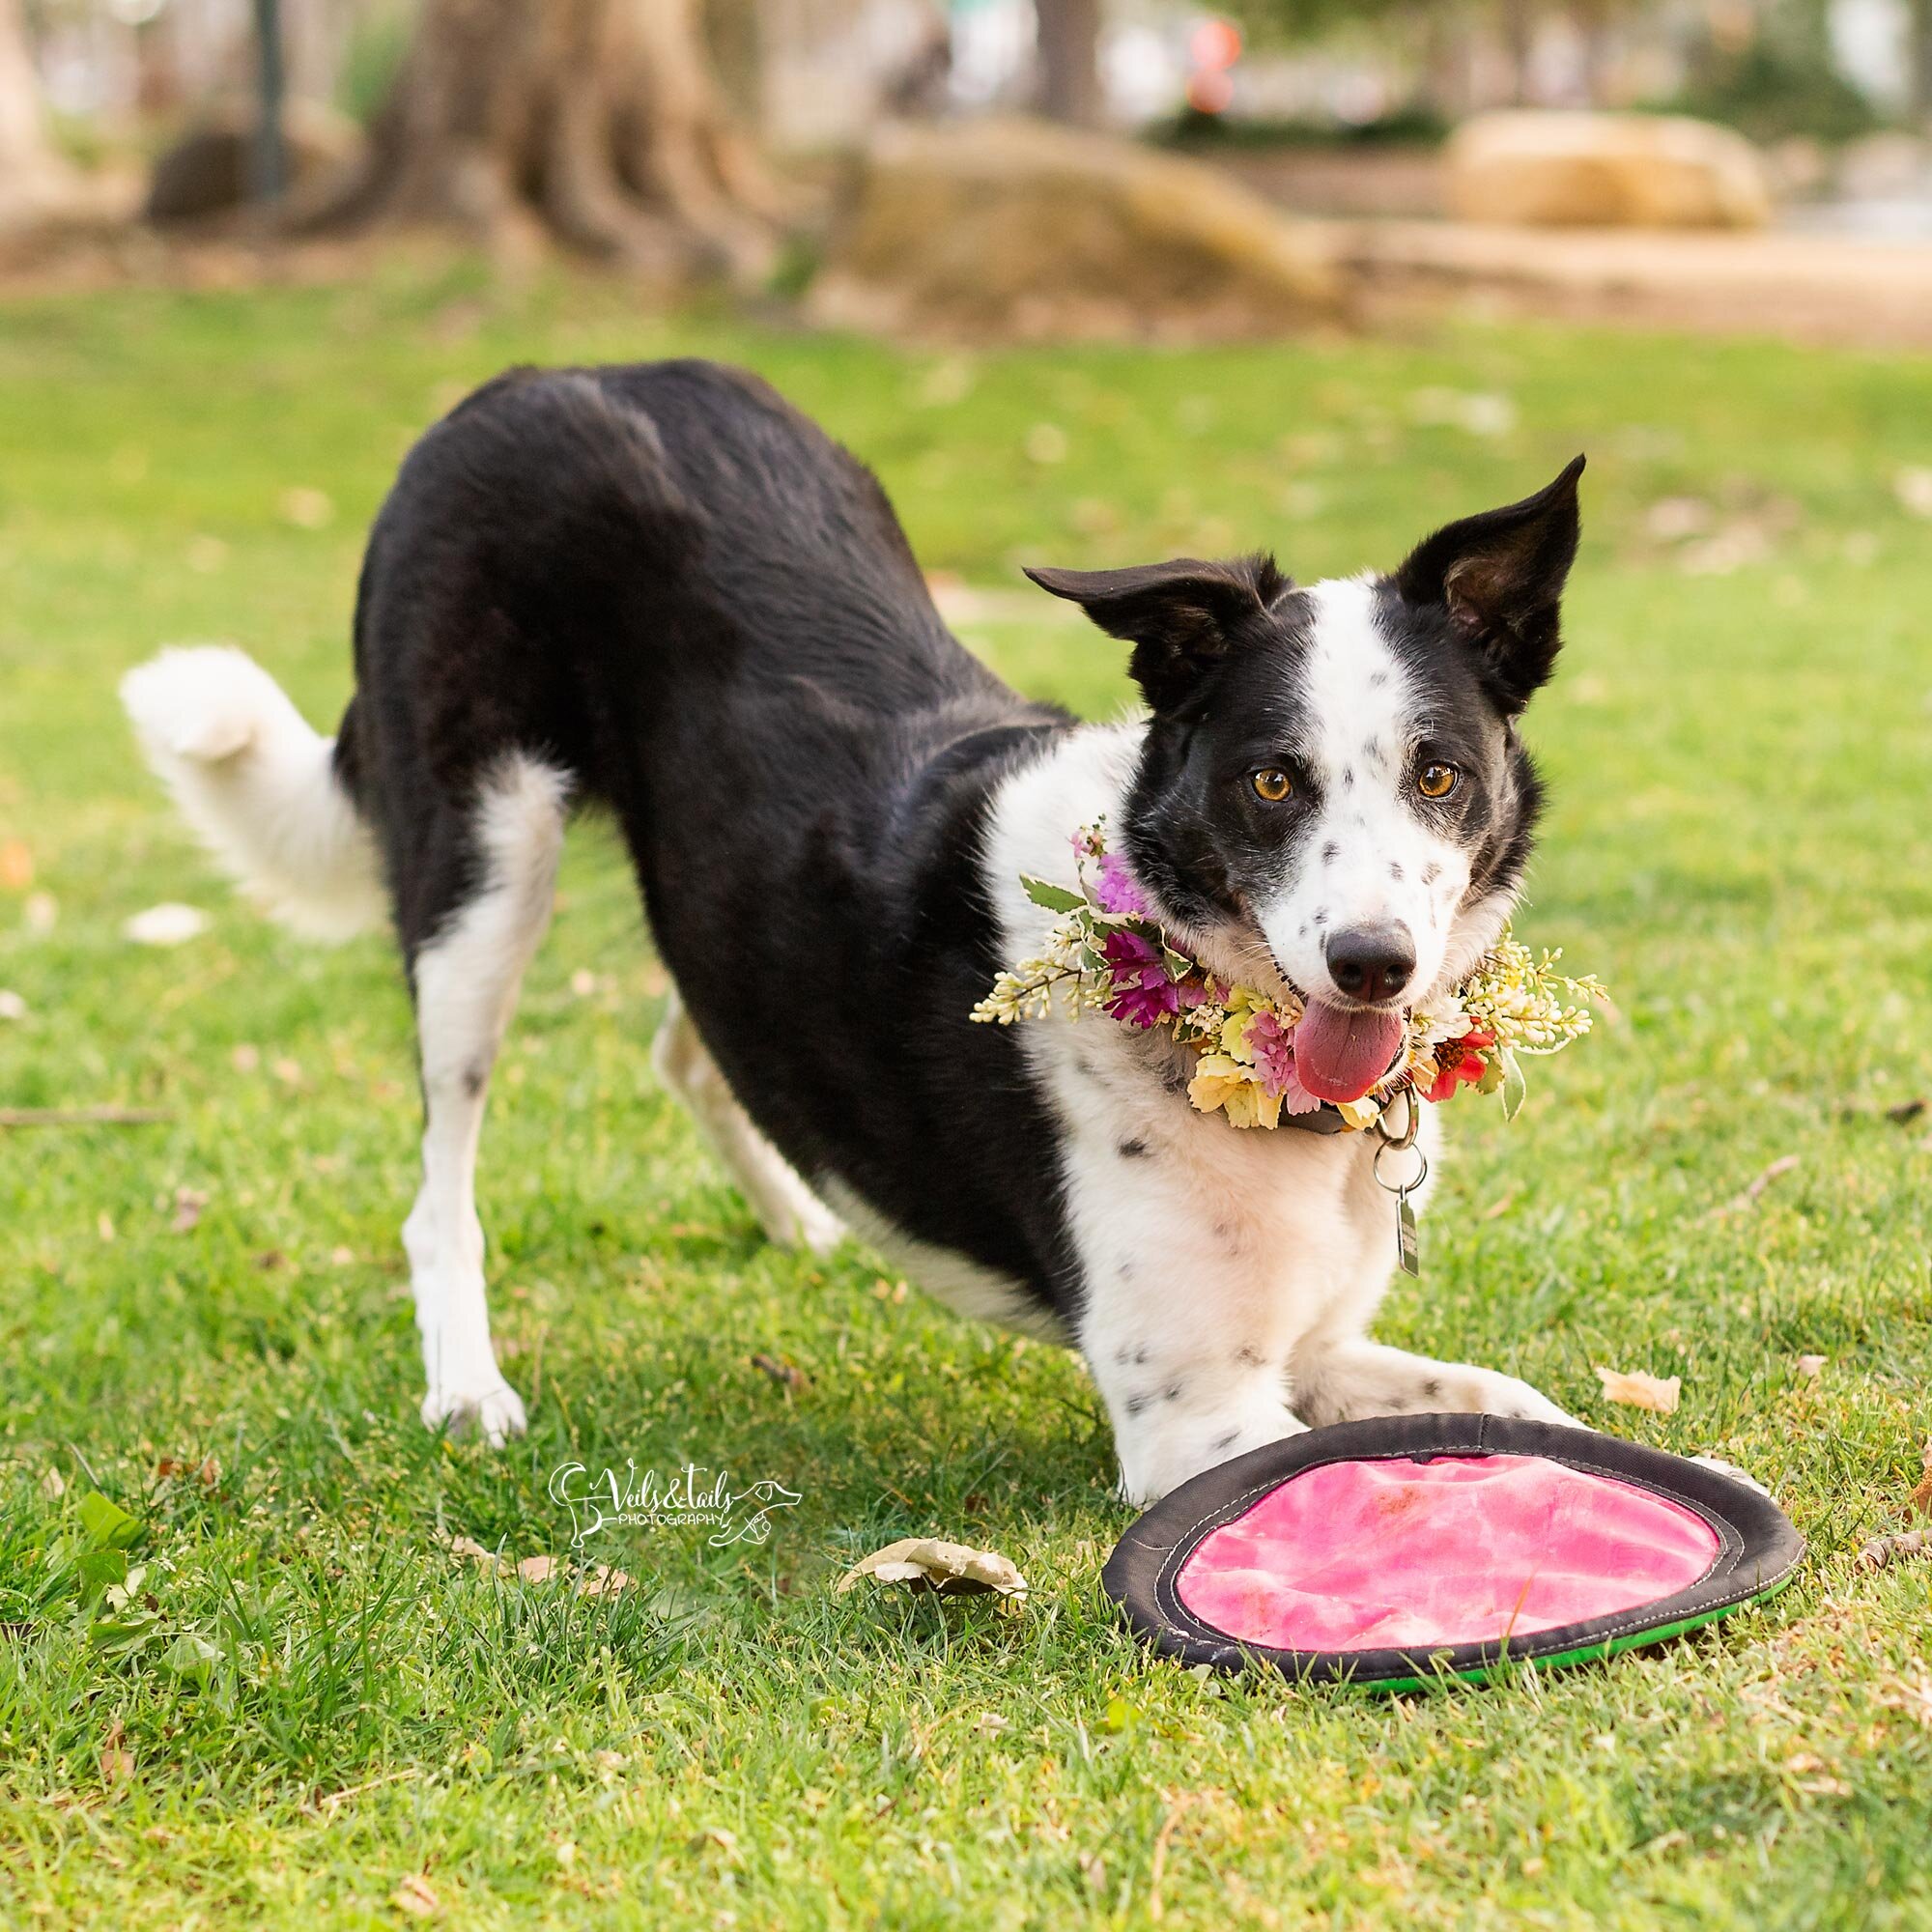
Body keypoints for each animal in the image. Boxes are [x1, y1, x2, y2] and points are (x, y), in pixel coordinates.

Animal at [128, 365, 1592, 1507]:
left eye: (1439, 775)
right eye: (1272, 782)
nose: (1372, 965)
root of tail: (537, 379)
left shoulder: (1309, 1350)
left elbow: (1516, 1407)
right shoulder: (1193, 1416)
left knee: (694, 1041)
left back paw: (802, 1214)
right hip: (482, 865)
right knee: (443, 1179)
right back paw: (467, 1383)